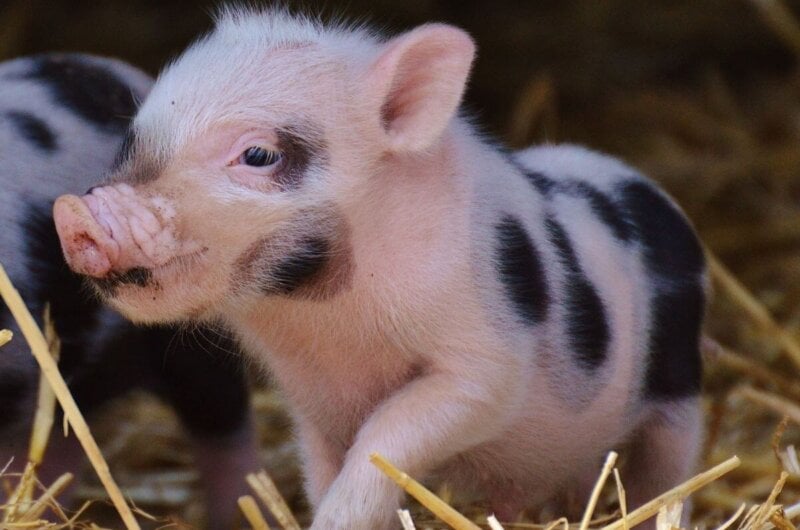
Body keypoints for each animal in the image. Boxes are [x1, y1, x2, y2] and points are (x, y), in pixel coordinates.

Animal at [53, 9, 706, 530]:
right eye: (132, 141)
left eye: (259, 154)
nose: (77, 215)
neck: (329, 325)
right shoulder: (308, 400)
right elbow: (324, 468)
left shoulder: (484, 362)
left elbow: (388, 436)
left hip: (679, 386)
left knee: (666, 475)